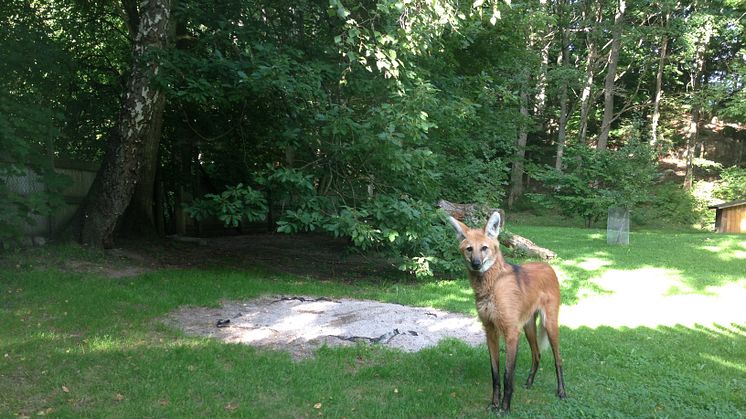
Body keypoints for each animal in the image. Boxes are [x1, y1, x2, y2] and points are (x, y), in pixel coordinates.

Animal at [448, 213, 564, 414]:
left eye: (484, 248)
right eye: (469, 249)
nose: (476, 264)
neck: (491, 287)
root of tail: (547, 265)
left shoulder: (511, 333)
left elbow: (507, 375)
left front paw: (505, 407)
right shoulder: (490, 331)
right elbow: (495, 374)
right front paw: (494, 404)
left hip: (549, 325)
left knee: (558, 359)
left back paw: (561, 391)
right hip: (528, 327)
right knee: (537, 354)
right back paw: (529, 383)